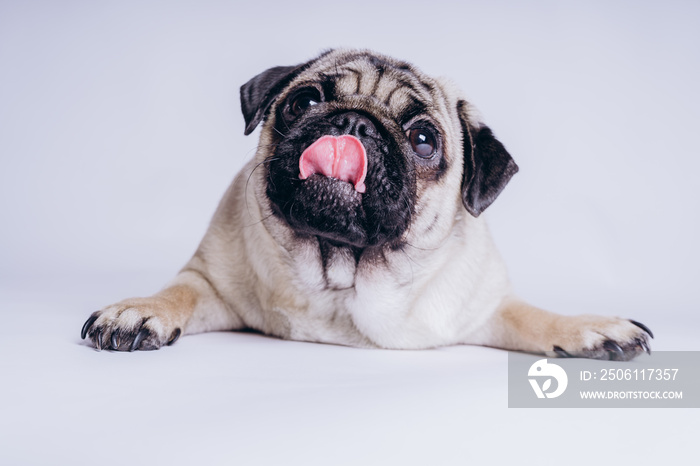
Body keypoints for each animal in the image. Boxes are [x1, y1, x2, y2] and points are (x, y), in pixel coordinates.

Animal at [79, 48, 652, 360]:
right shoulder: (210, 283)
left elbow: (533, 316)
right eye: (304, 101)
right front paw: (139, 312)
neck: (340, 276)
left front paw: (588, 328)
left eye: (423, 139)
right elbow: (178, 291)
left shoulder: (483, 309)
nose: (355, 122)